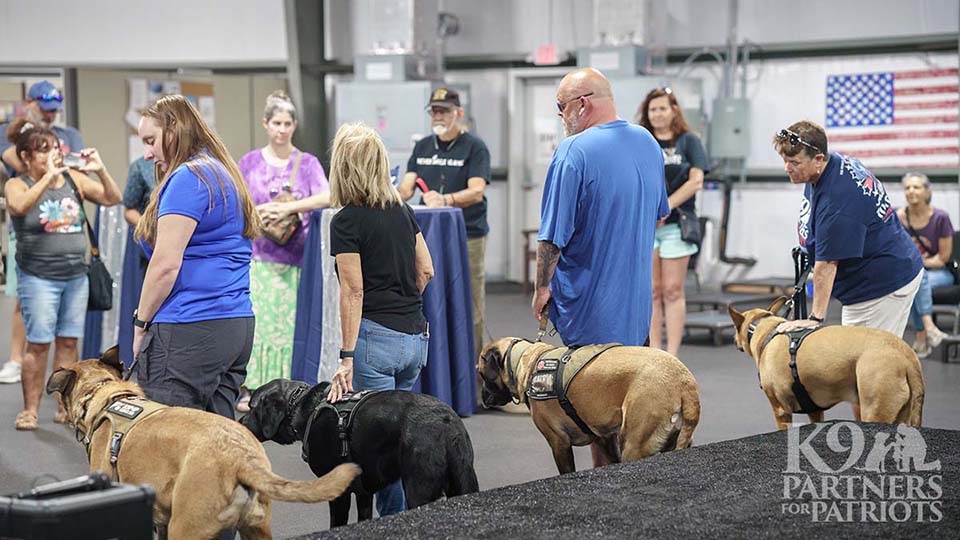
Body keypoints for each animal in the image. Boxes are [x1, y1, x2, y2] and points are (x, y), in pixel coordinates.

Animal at [240, 378, 480, 524]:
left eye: (252, 408)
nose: (239, 421)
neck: (302, 407)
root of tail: (446, 421)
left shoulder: (338, 490)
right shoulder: (364, 492)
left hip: (419, 488)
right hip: (463, 481)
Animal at [478, 340, 696, 474]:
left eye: (481, 374)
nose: (482, 397)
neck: (524, 362)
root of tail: (685, 381)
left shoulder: (559, 444)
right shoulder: (604, 438)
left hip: (634, 445)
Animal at [732, 296, 928, 430]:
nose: (735, 342)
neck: (766, 329)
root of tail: (906, 354)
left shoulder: (781, 410)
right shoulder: (815, 410)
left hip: (875, 410)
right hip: (902, 415)